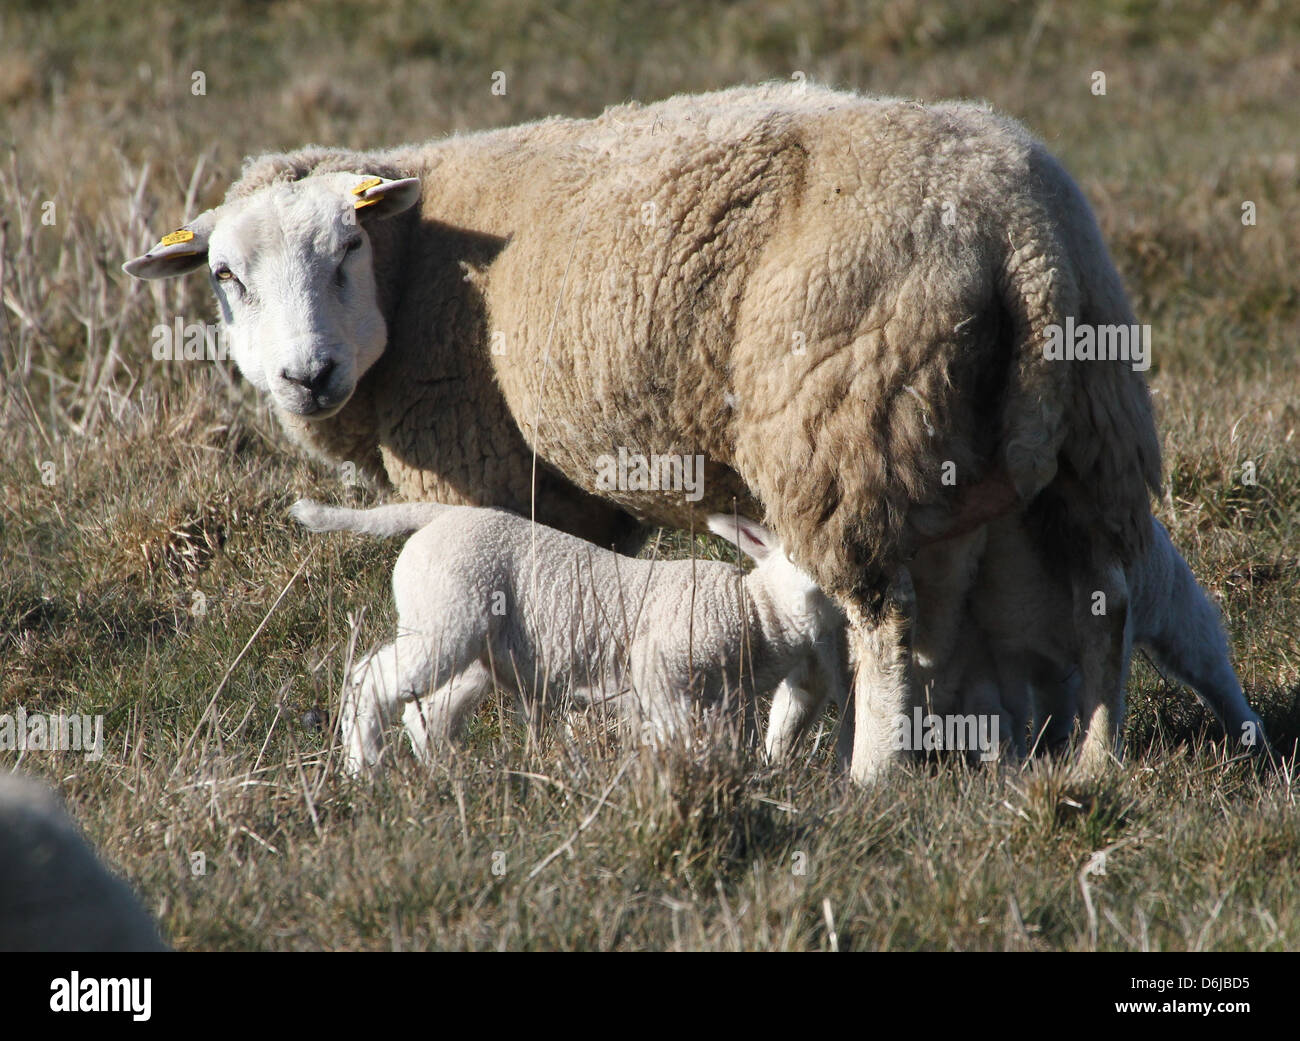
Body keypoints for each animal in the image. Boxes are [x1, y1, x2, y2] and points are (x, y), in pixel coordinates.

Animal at [288, 498, 847, 774]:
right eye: (795, 557)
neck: (753, 611)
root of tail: (439, 515)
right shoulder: (662, 670)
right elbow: (679, 736)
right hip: (445, 613)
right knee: (370, 680)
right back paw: (364, 769)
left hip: (476, 646)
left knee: (433, 711)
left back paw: (444, 773)